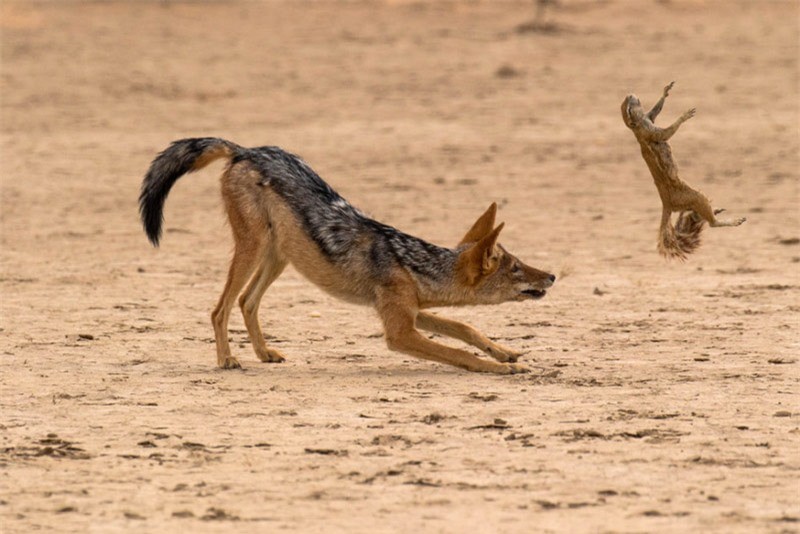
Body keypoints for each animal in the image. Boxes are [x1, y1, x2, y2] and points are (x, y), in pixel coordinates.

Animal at [620, 81, 748, 262]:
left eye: (629, 103)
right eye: (628, 110)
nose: (629, 94)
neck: (637, 127)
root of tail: (666, 204)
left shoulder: (648, 119)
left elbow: (654, 111)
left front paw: (666, 91)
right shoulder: (650, 132)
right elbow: (666, 133)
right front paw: (684, 115)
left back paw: (714, 210)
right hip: (695, 196)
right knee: (712, 223)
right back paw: (730, 219)